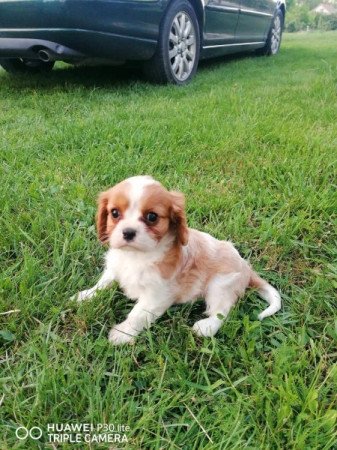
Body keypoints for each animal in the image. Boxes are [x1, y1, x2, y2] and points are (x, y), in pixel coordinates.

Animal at [71, 176, 280, 344]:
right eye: (114, 213)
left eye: (152, 217)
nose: (128, 232)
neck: (136, 255)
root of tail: (246, 267)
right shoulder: (115, 267)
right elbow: (104, 283)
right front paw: (86, 296)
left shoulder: (156, 295)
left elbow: (137, 314)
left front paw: (122, 333)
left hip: (221, 285)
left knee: (222, 310)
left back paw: (206, 327)